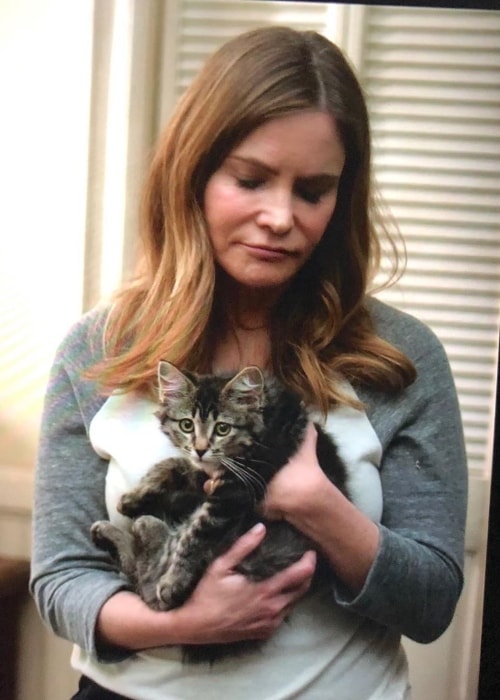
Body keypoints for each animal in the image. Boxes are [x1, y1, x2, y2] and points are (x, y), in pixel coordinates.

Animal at [93, 364, 352, 664]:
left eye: (222, 428)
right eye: (186, 425)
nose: (201, 448)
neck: (265, 420)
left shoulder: (232, 494)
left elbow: (193, 539)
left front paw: (174, 581)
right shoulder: (207, 477)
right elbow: (174, 463)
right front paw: (133, 497)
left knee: (148, 579)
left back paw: (141, 528)